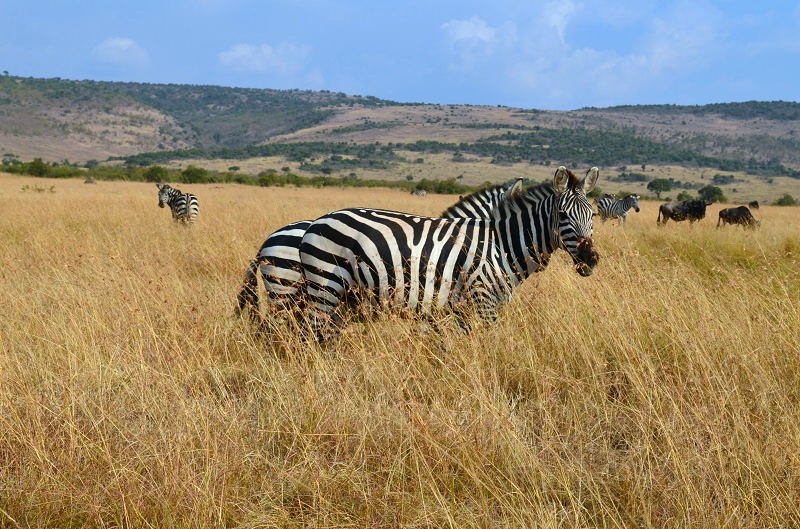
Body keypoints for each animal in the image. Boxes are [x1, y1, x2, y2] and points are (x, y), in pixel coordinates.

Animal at [296, 165, 596, 340]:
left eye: (593, 214)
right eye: (562, 215)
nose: (590, 260)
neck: (502, 244)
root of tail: (316, 222)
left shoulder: (464, 307)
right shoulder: (482, 300)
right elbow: (488, 346)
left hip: (341, 296)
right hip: (325, 287)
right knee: (312, 335)